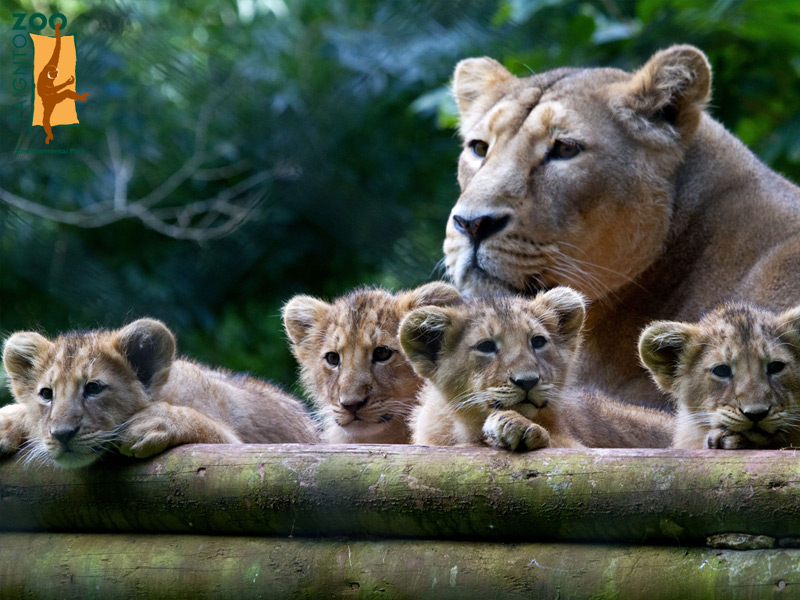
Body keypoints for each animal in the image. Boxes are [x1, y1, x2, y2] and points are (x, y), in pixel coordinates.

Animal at [0, 318, 318, 468]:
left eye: (93, 388)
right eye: (46, 394)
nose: (62, 434)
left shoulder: (239, 449)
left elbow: (205, 425)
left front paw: (151, 425)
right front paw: (7, 423)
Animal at [399, 287, 672, 450]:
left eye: (538, 341)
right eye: (486, 346)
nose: (528, 381)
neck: (465, 428)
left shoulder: (581, 448)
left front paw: (518, 427)